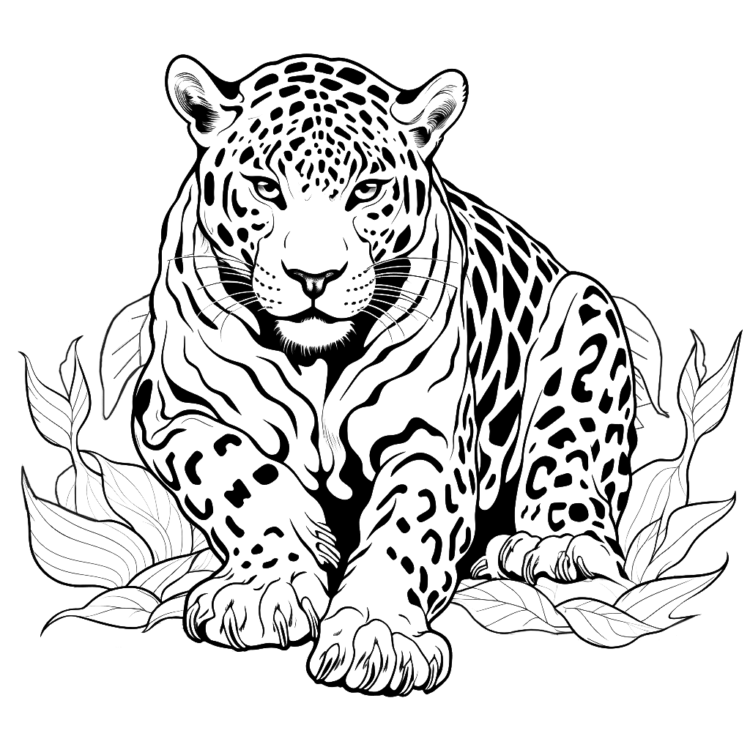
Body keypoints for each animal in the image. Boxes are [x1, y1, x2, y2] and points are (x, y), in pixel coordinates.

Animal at [132, 53, 637, 696]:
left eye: (366, 191)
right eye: (266, 188)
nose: (314, 277)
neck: (316, 361)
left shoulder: (428, 442)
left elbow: (408, 527)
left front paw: (377, 633)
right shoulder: (177, 412)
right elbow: (241, 478)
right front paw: (268, 587)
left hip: (584, 307)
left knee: (571, 457)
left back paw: (559, 546)